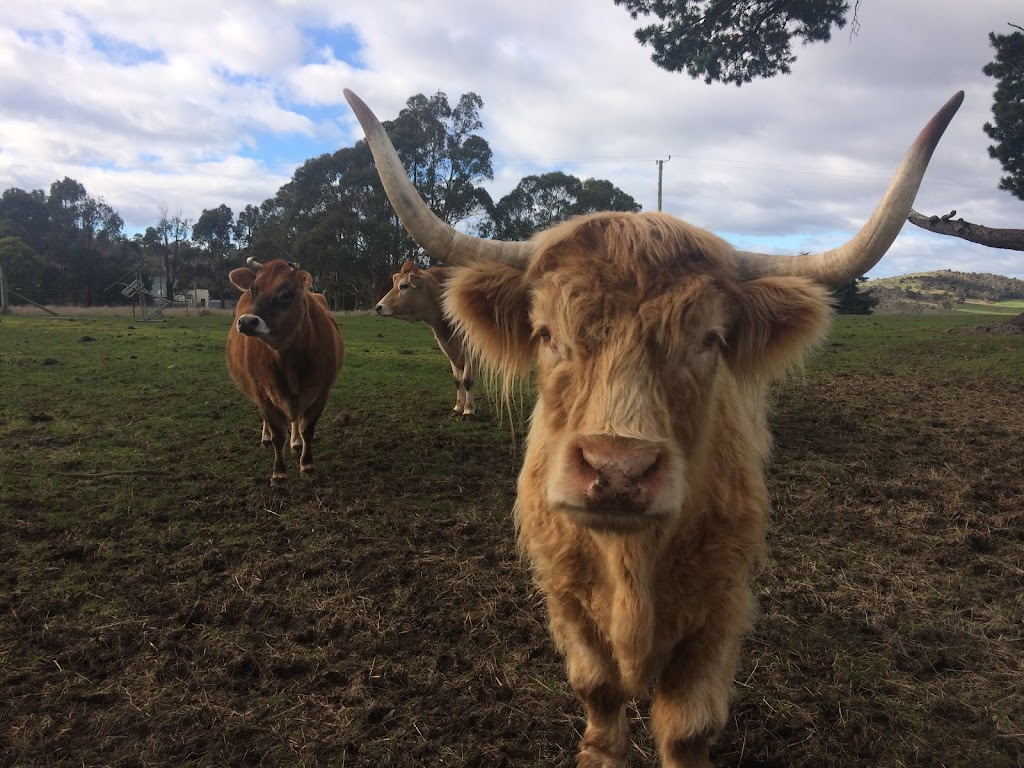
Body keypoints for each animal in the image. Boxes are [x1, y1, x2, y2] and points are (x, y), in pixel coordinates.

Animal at [374, 260, 477, 417]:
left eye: (404, 285)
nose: (378, 307)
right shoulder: (451, 350)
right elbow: (457, 381)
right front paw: (458, 408)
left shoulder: (470, 351)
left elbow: (467, 381)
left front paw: (468, 411)